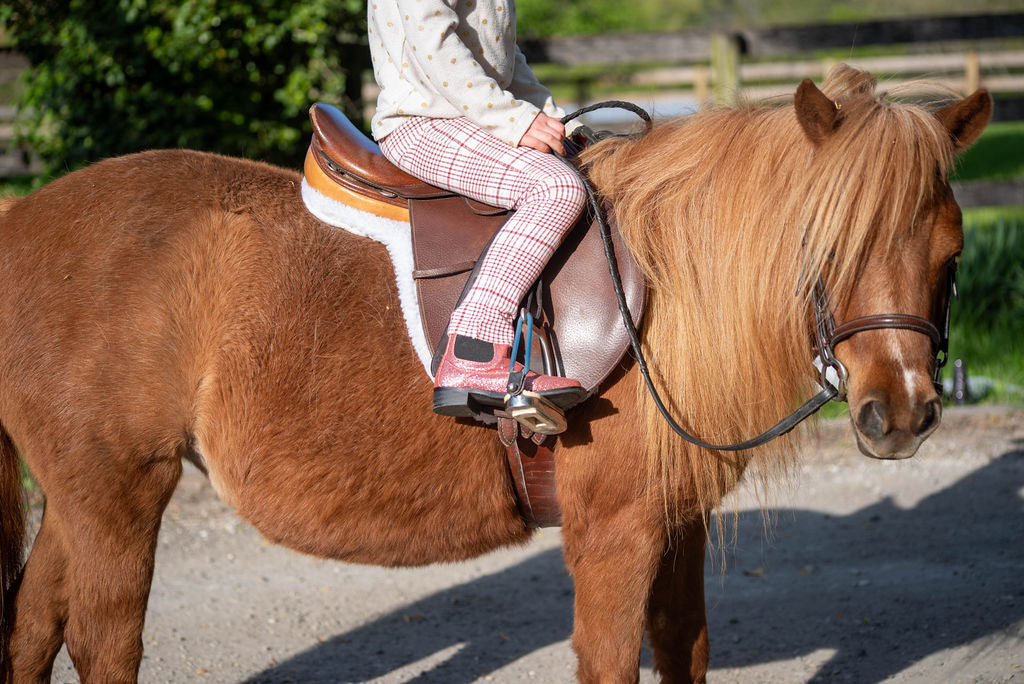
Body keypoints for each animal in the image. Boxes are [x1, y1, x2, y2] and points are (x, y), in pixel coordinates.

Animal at [0, 68, 991, 684]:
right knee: (104, 643)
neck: (668, 292)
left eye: (952, 252)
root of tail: (19, 220)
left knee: (32, 630)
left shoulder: (676, 522)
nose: (902, 412)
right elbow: (609, 660)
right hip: (117, 492)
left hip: (83, 497)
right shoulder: (614, 530)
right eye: (830, 244)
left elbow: (684, 649)